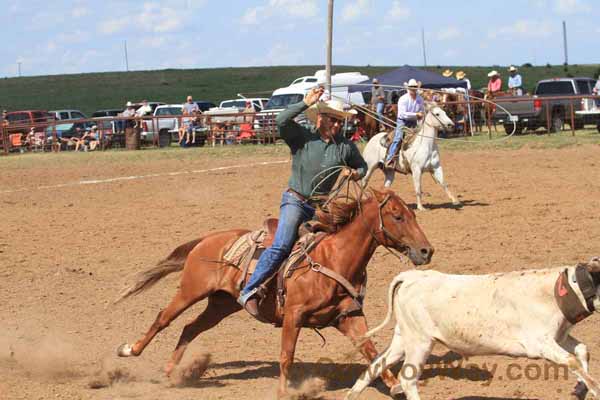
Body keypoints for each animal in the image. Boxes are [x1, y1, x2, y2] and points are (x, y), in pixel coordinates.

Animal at [115, 189, 432, 396]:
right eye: (397, 216)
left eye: (411, 213)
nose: (426, 250)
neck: (333, 258)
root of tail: (207, 239)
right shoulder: (293, 315)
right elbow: (286, 356)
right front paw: (283, 391)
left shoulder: (348, 317)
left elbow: (373, 352)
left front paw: (394, 384)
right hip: (190, 290)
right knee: (163, 319)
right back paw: (129, 349)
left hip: (221, 305)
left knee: (190, 328)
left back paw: (172, 371)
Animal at [344, 256, 600, 400]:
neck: (555, 292)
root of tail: (413, 276)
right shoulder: (540, 343)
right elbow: (572, 361)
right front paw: (594, 390)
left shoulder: (560, 337)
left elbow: (583, 351)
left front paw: (581, 390)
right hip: (419, 341)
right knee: (408, 379)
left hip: (403, 337)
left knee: (376, 365)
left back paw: (351, 395)